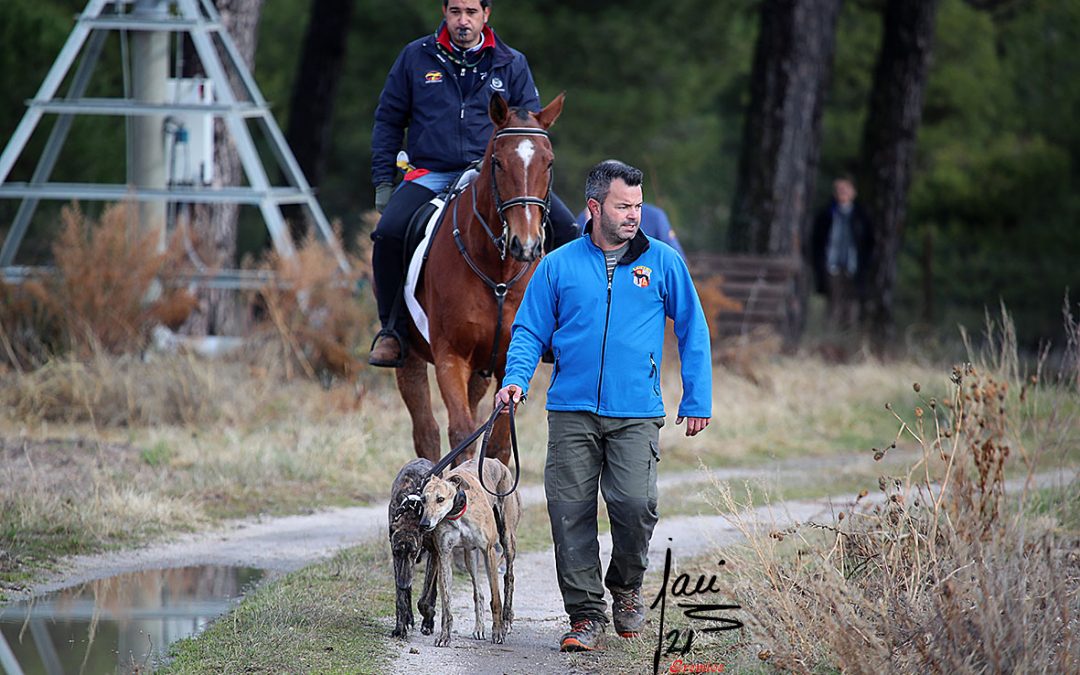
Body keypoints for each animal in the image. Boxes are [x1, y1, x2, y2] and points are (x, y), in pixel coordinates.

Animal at [397, 92, 565, 466]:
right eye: (498, 163)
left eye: (548, 163)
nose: (525, 243)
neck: (498, 273)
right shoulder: (450, 356)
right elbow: (462, 433)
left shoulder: (505, 362)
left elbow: (499, 442)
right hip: (410, 356)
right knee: (425, 428)